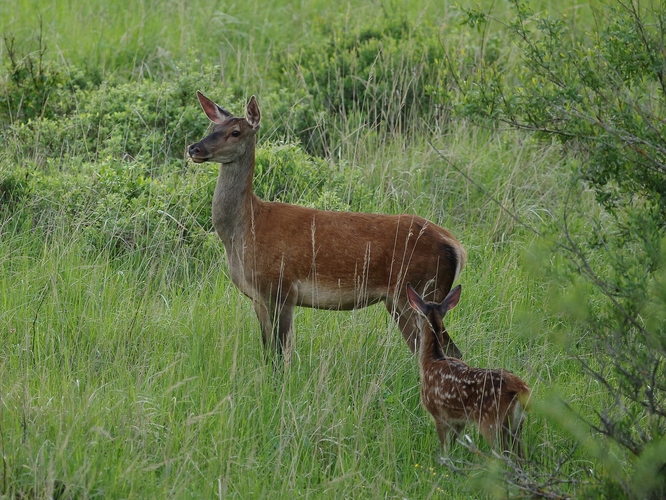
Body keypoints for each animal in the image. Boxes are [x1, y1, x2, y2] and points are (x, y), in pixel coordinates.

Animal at [187, 92, 464, 362]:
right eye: (213, 126)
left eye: (235, 132)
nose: (193, 148)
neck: (245, 229)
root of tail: (456, 246)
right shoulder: (258, 298)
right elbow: (268, 353)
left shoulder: (281, 288)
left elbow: (280, 355)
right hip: (400, 301)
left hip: (422, 290)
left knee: (449, 350)